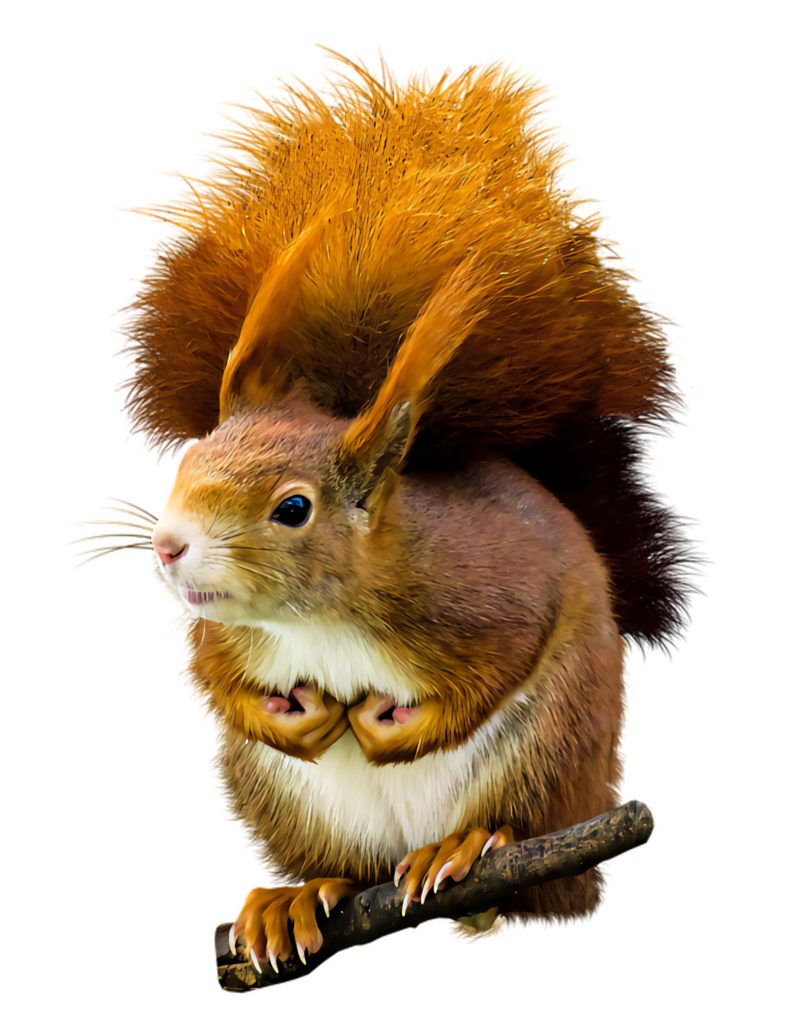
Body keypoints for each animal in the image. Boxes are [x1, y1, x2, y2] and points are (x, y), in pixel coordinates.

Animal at [67, 44, 690, 967]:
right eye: (187, 462)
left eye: (293, 509)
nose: (169, 547)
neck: (317, 620)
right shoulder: (227, 635)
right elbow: (209, 678)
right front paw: (292, 721)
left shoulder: (485, 590)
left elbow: (503, 655)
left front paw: (391, 729)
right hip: (278, 804)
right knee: (338, 867)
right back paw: (294, 896)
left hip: (552, 758)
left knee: (537, 871)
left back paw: (466, 851)